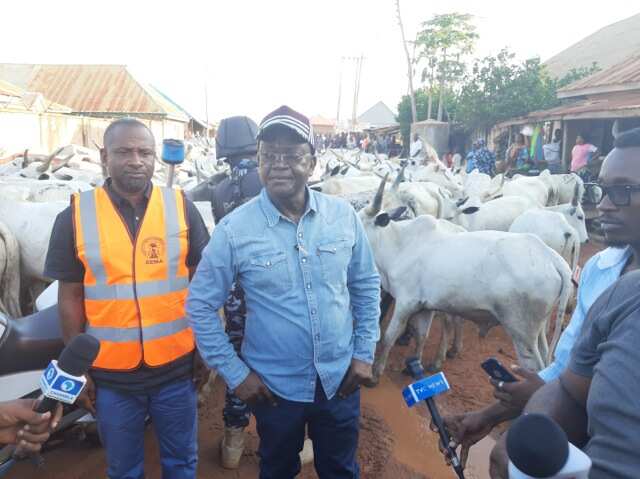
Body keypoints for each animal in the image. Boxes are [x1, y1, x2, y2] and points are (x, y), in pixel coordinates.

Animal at [358, 179, 572, 378]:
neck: (398, 244)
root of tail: (550, 257)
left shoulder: (405, 303)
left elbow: (388, 337)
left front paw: (375, 372)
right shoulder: (424, 306)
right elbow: (421, 336)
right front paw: (413, 366)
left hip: (522, 331)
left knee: (534, 366)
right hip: (538, 330)